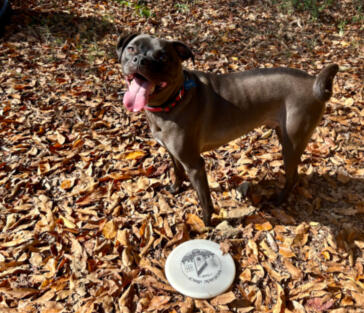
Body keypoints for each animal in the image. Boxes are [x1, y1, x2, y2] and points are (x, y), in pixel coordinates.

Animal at [116, 33, 338, 224]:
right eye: (131, 48)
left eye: (163, 56)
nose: (139, 60)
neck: (173, 100)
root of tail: (313, 83)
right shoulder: (173, 154)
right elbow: (177, 172)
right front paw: (175, 188)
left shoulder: (195, 165)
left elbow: (205, 200)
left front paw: (206, 224)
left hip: (291, 144)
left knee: (292, 177)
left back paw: (278, 200)